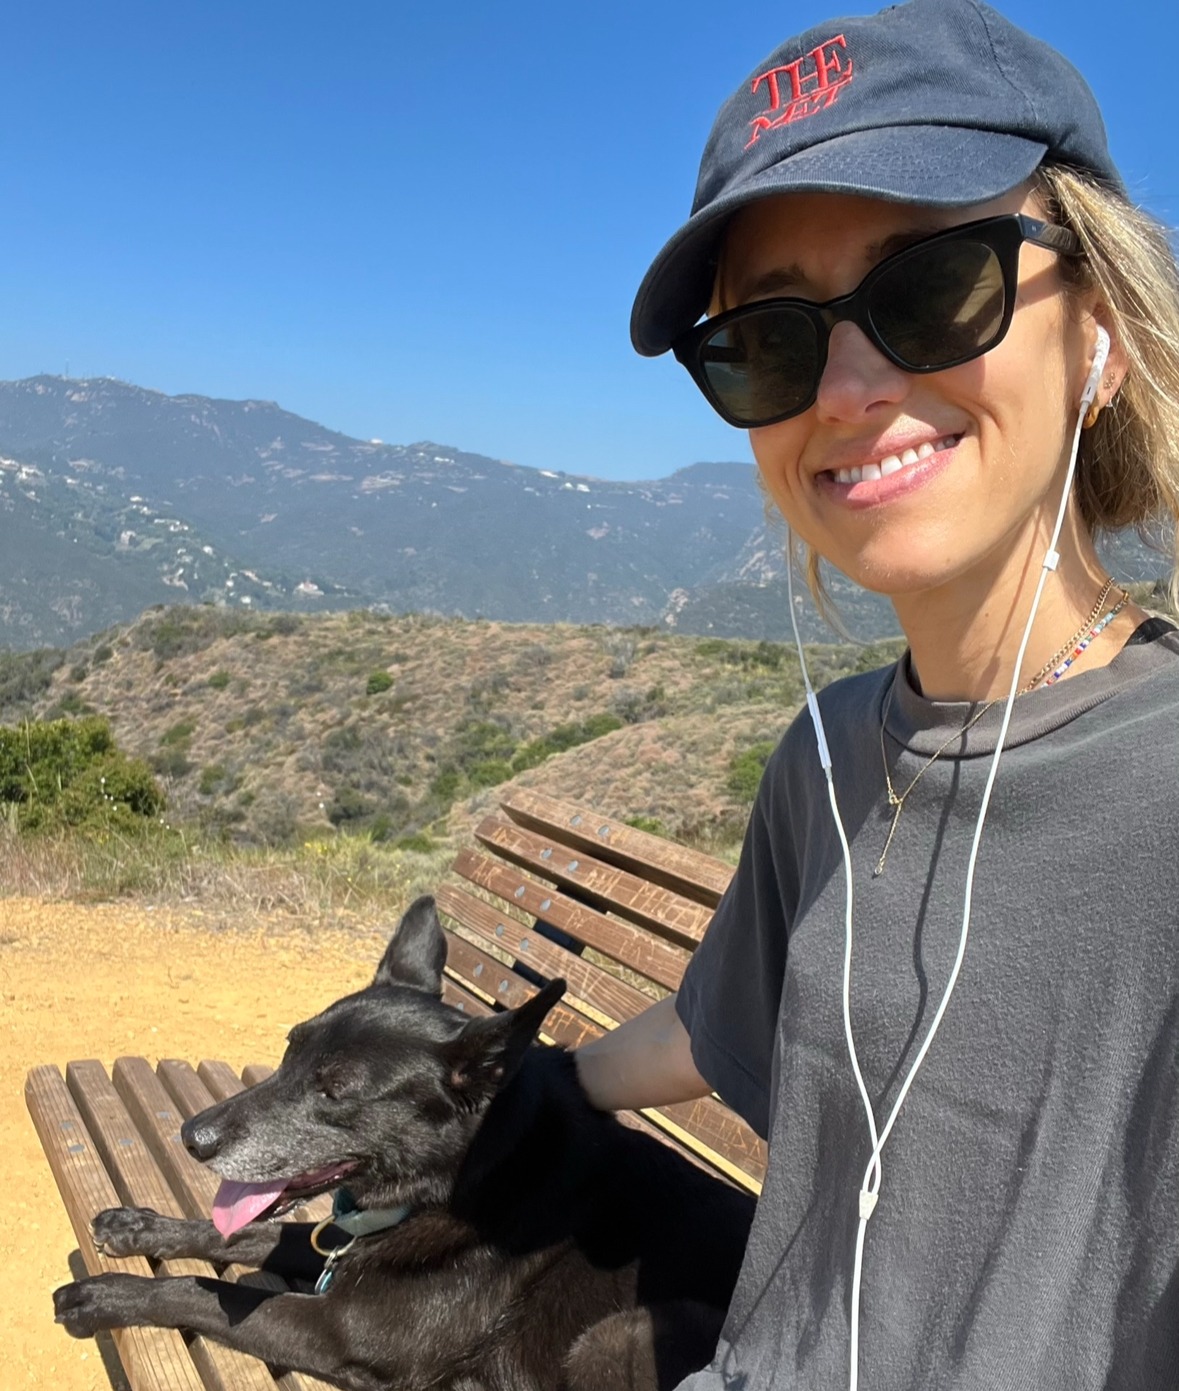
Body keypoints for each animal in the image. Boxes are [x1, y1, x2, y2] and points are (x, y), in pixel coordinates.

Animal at [53, 896, 754, 1391]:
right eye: (289, 1048)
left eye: (336, 1090)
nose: (191, 1137)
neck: (474, 1176)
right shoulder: (341, 1244)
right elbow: (244, 1234)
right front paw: (137, 1227)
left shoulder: (339, 1328)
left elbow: (202, 1289)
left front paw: (106, 1296)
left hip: (624, 1333)